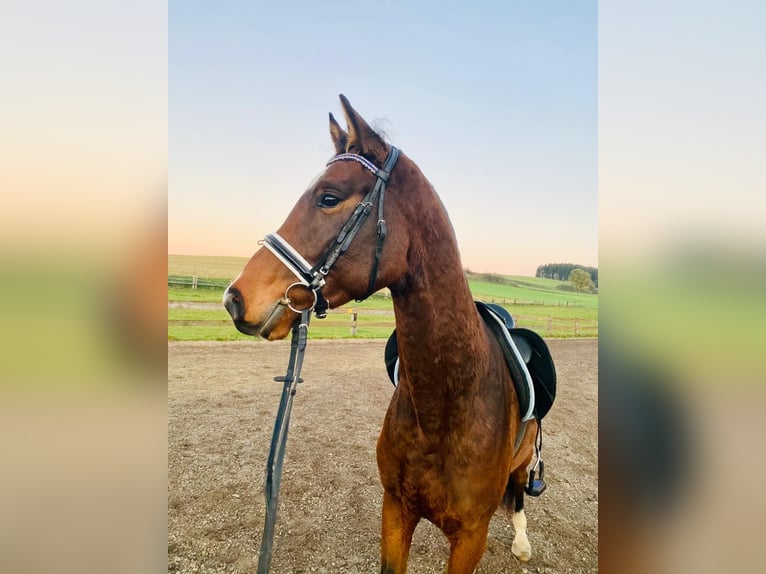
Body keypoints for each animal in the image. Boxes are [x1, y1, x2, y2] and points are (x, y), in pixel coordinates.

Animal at [225, 95, 540, 574]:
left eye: (329, 197)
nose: (235, 298)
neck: (446, 403)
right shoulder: (395, 509)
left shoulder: (471, 537)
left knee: (520, 488)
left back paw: (522, 542)